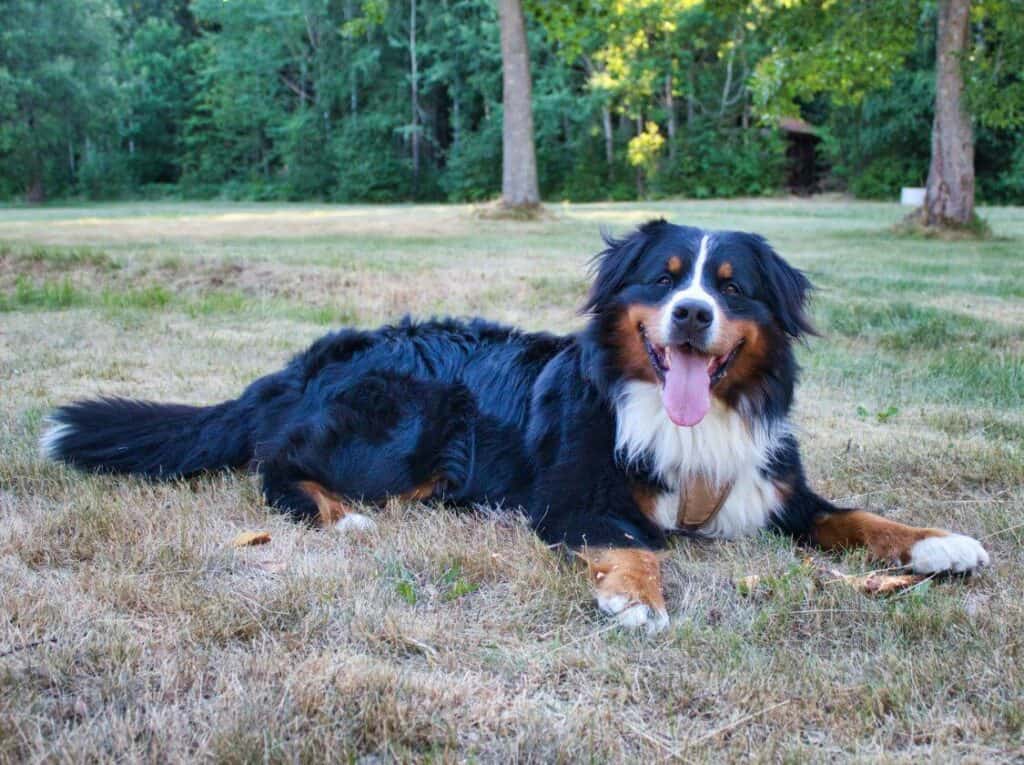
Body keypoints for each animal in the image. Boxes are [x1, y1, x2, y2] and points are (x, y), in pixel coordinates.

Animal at [41, 221, 991, 634]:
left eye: (732, 286)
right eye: (664, 277)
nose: (690, 315)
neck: (685, 420)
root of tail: (320, 353)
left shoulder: (775, 485)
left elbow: (856, 515)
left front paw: (938, 543)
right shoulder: (576, 498)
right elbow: (634, 543)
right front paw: (637, 597)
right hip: (409, 422)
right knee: (277, 462)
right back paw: (342, 518)